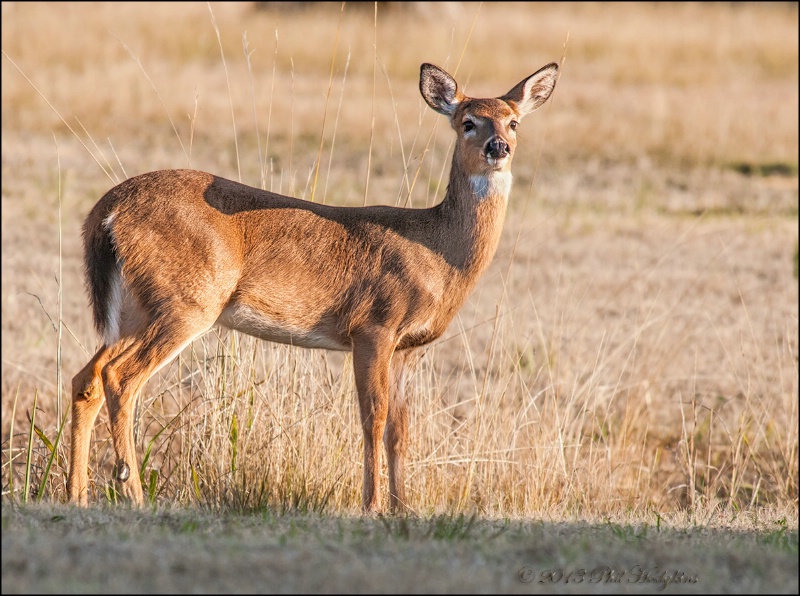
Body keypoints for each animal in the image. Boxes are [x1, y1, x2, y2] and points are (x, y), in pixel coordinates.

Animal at [67, 62, 556, 516]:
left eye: (513, 121)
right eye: (468, 121)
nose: (498, 147)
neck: (438, 253)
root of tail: (106, 209)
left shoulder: (408, 347)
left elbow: (400, 429)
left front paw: (403, 507)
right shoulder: (373, 326)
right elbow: (373, 417)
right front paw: (372, 505)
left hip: (135, 307)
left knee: (87, 377)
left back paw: (77, 495)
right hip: (188, 300)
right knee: (121, 377)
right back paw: (131, 491)